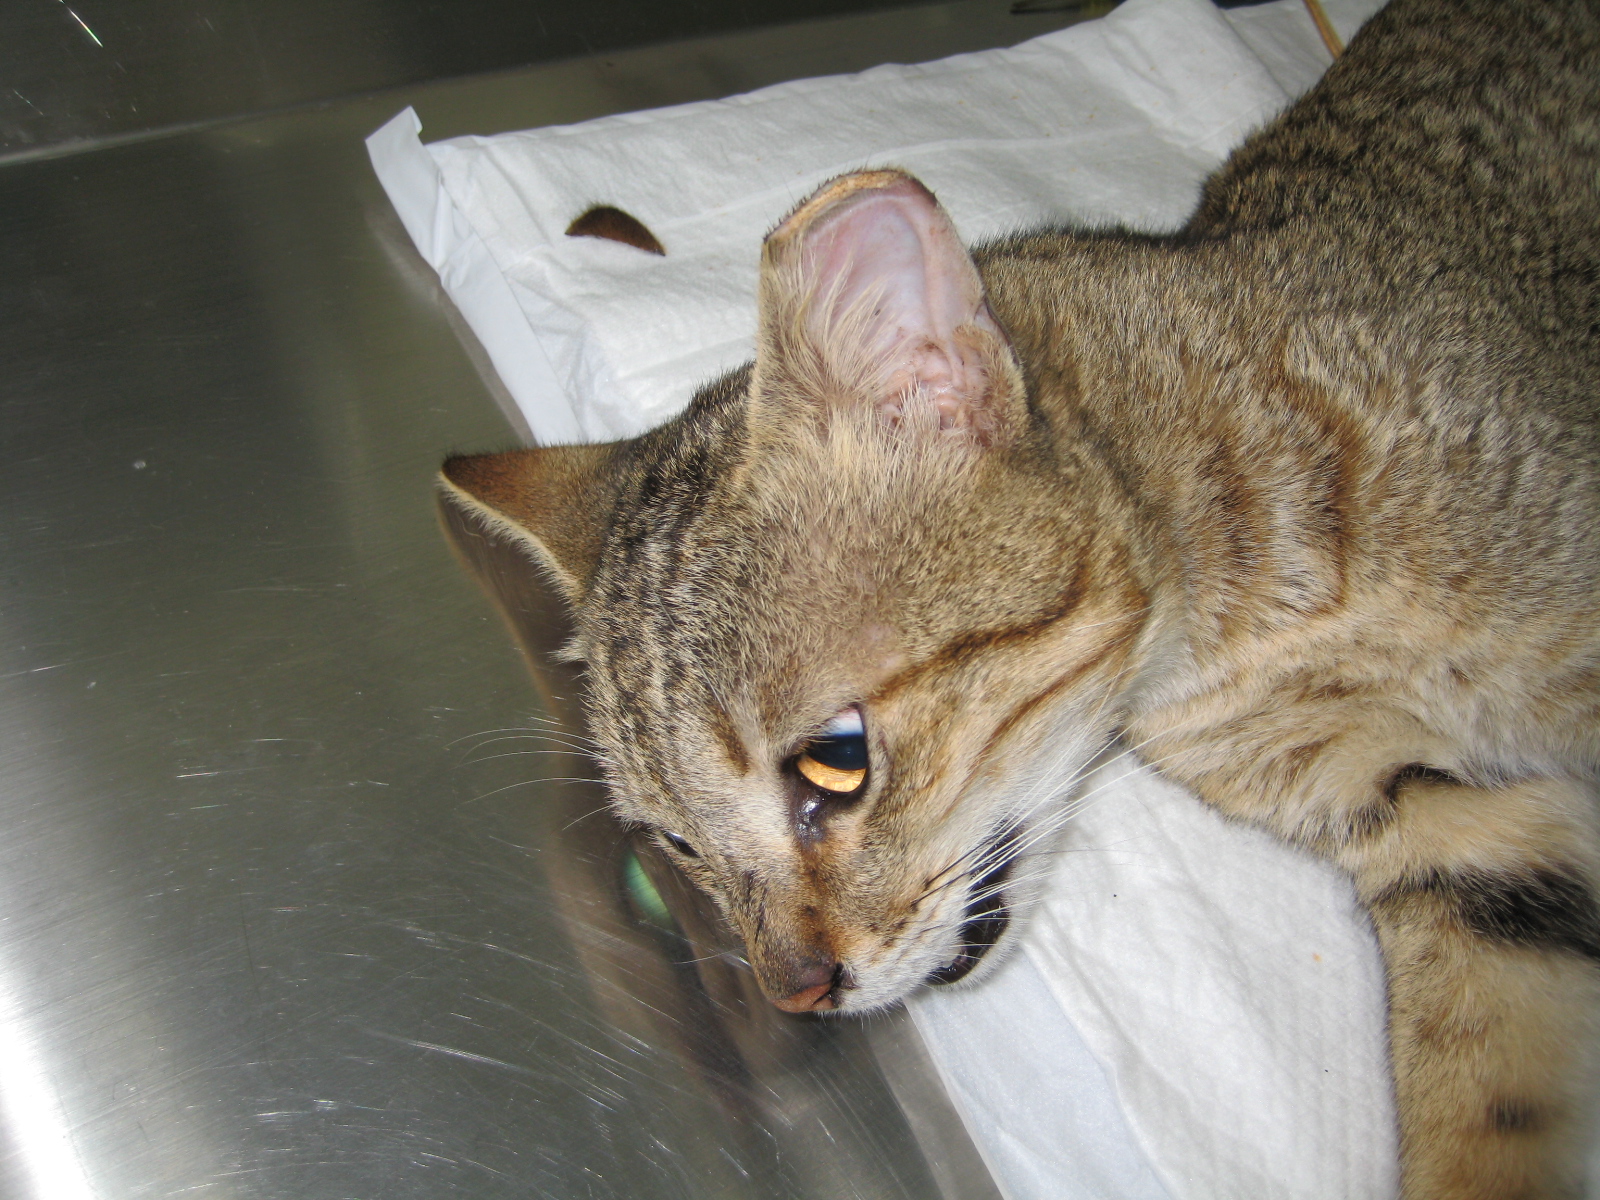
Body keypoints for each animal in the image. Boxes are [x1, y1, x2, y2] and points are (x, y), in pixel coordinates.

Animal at [439, 0, 1600, 1195]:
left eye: (834, 761)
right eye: (676, 845)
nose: (793, 992)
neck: (1258, 619)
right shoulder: (1451, 823)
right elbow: (1483, 1108)